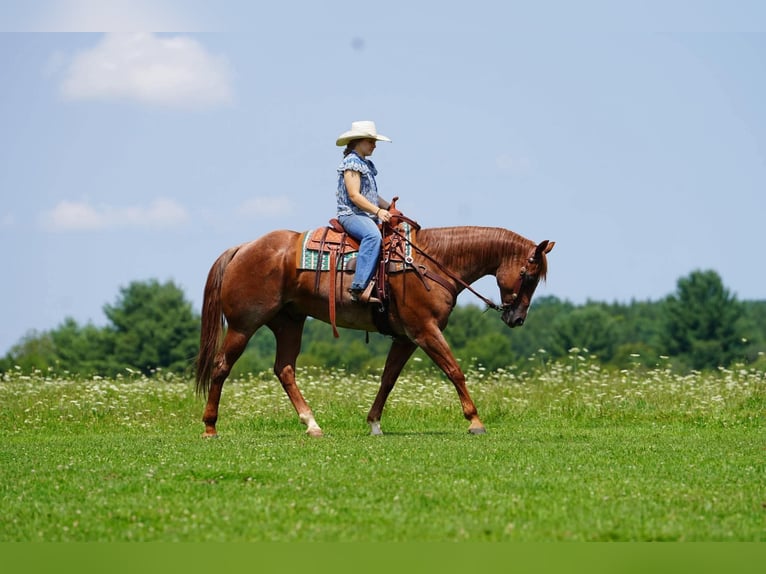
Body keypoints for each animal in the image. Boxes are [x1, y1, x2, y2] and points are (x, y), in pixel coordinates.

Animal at [195, 220, 554, 437]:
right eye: (528, 275)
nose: (516, 318)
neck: (431, 262)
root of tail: (243, 247)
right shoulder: (425, 331)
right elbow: (455, 371)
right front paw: (475, 421)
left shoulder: (407, 338)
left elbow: (388, 379)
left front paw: (374, 422)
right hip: (243, 325)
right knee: (221, 366)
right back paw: (210, 427)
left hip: (289, 323)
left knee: (284, 369)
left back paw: (312, 424)